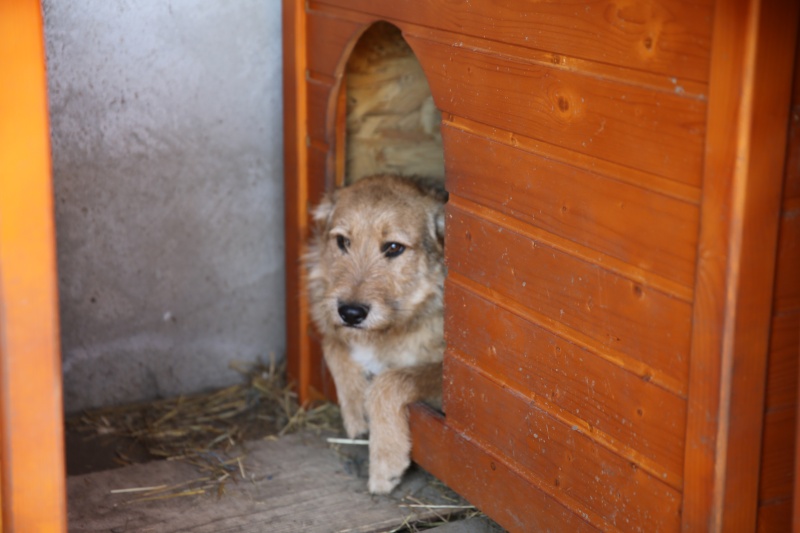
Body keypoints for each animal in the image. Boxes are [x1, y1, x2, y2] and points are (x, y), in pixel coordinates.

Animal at [304, 176, 446, 494]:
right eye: (343, 242)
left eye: (393, 247)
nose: (350, 313)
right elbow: (332, 344)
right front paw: (356, 407)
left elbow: (392, 379)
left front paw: (384, 463)